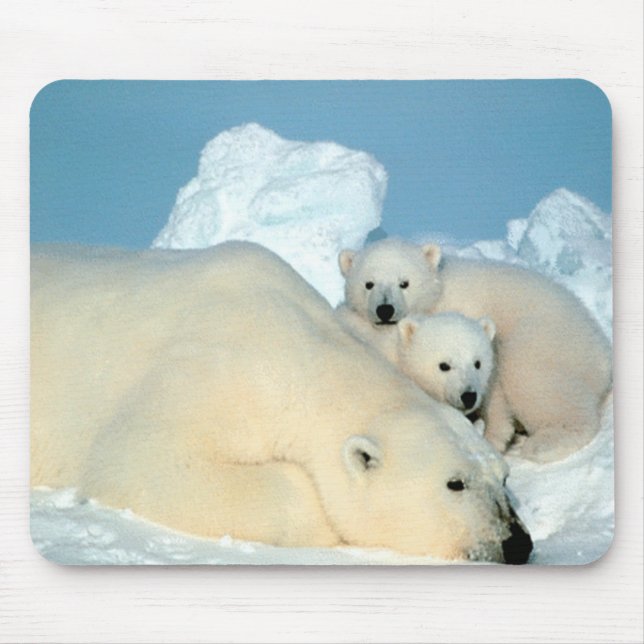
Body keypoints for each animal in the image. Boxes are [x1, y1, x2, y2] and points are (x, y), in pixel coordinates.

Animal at [337, 238, 612, 463]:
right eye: (369, 284)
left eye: (404, 283)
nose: (385, 309)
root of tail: (601, 351)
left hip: (546, 340)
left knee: (534, 379)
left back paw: (545, 443)